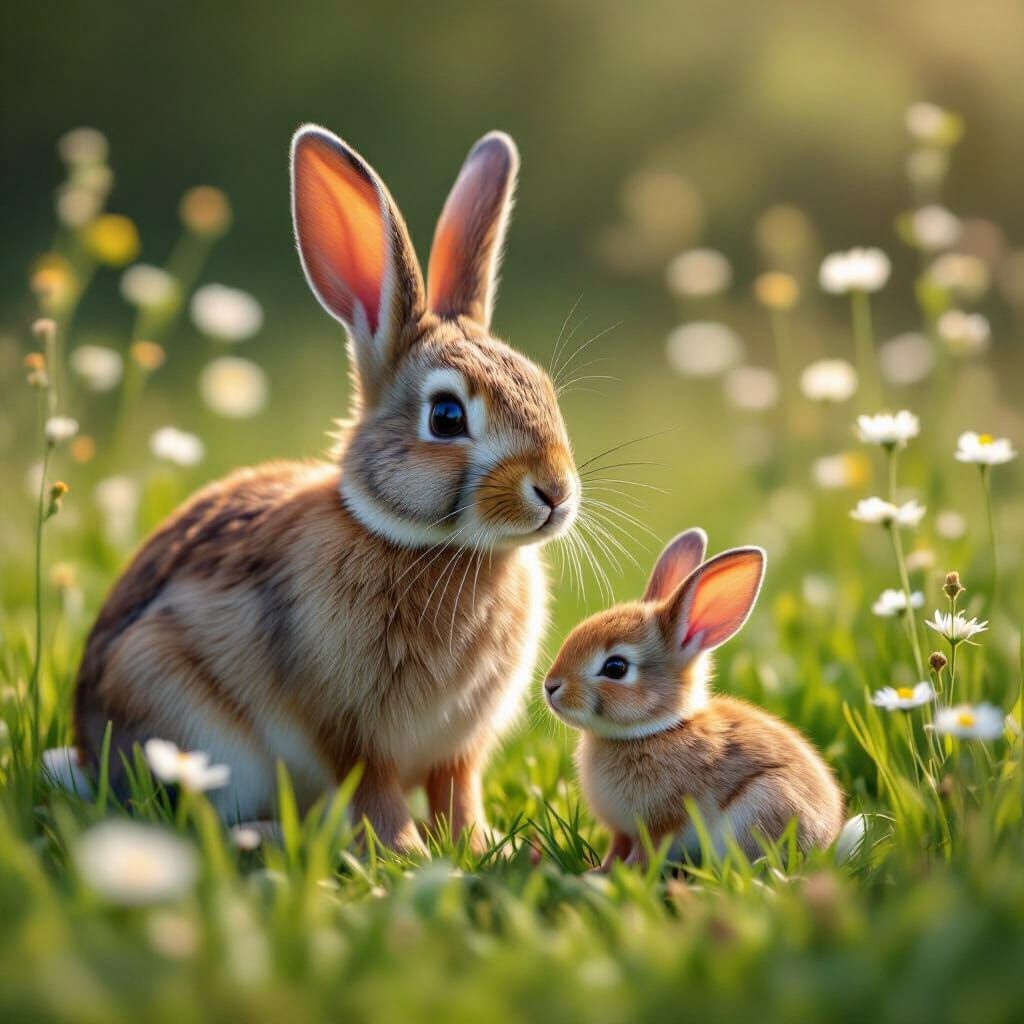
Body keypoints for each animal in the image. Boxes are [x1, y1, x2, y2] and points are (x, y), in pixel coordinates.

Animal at [71, 125, 580, 854]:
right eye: (446, 416)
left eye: (542, 389)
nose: (555, 492)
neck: (431, 545)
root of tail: (87, 755)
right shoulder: (351, 731)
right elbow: (377, 795)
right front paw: (409, 856)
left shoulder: (460, 748)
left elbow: (458, 793)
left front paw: (483, 849)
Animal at [543, 528, 844, 869]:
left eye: (615, 667)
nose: (551, 687)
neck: (655, 730)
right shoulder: (621, 831)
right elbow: (617, 847)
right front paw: (600, 870)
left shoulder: (660, 823)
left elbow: (645, 851)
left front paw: (621, 872)